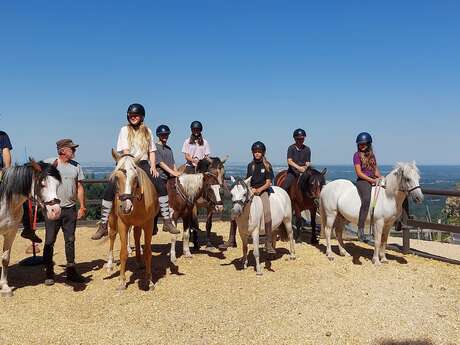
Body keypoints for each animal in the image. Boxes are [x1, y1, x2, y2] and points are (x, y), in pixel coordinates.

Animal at [0, 159, 61, 296]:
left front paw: (5, 287)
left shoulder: (11, 232)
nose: (56, 211)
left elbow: (5, 259)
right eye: (42, 184)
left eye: (58, 184)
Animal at [106, 151, 160, 290]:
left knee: (136, 236)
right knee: (112, 236)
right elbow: (123, 253)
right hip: (112, 219)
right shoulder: (123, 224)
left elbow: (147, 252)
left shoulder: (148, 224)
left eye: (135, 177)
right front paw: (122, 281)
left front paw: (149, 280)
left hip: (138, 224)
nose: (126, 207)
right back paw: (109, 264)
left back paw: (139, 262)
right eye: (117, 177)